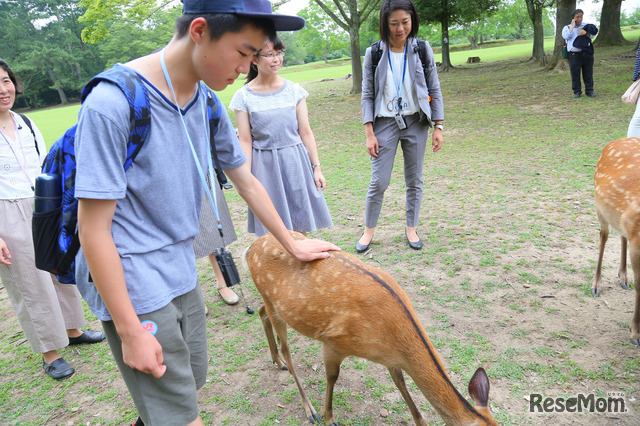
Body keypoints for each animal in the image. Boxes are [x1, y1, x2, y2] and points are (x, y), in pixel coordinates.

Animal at [242, 233, 498, 426]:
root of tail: (249, 249)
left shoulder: (390, 358)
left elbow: (400, 382)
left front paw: (421, 422)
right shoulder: (334, 342)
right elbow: (332, 378)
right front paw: (329, 418)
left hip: (270, 302)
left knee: (261, 312)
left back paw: (276, 360)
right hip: (274, 301)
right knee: (287, 349)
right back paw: (309, 408)